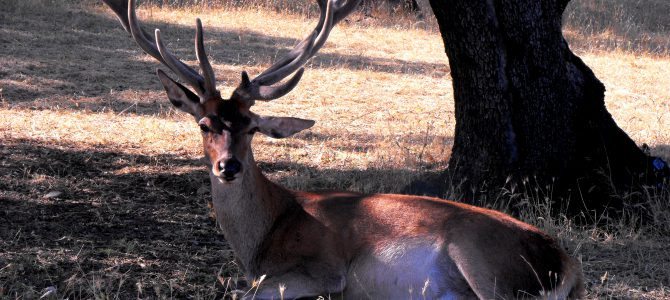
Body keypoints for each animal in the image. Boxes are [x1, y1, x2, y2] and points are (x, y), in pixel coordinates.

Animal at [102, 0, 584, 298]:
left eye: (253, 128)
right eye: (204, 124)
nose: (228, 166)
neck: (262, 239)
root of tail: (567, 264)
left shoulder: (324, 268)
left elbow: (243, 293)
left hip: (485, 259)